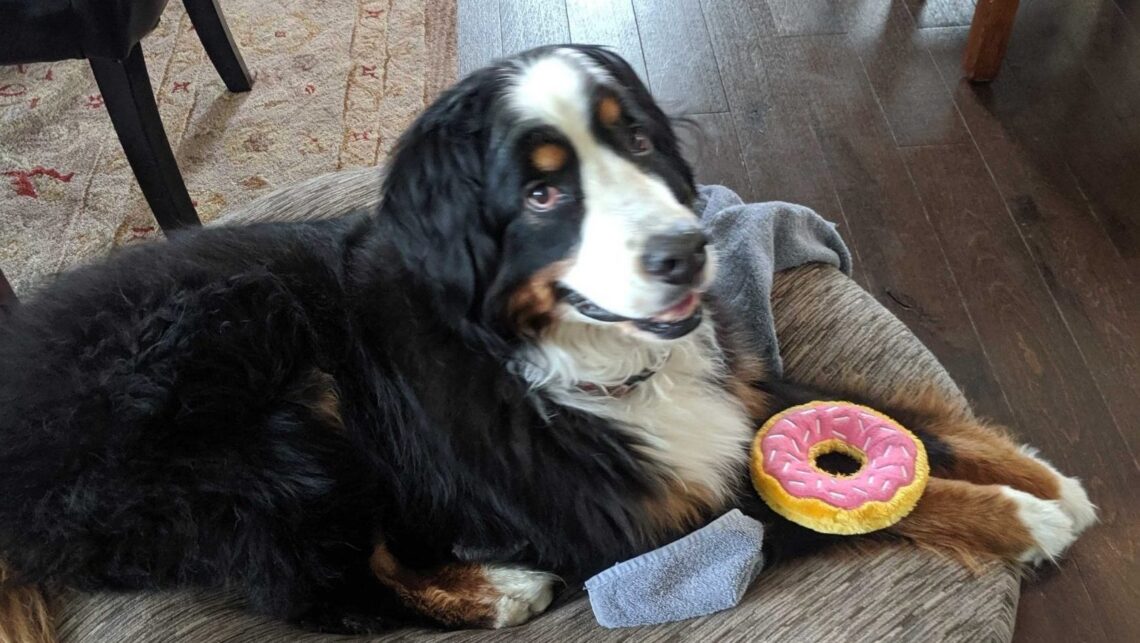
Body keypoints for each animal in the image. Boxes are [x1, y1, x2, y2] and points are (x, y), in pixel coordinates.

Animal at [0, 46, 1094, 638]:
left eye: (638, 140)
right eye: (540, 192)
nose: (689, 252)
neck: (557, 359)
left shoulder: (734, 396)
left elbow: (902, 417)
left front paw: (1041, 476)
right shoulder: (629, 520)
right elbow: (843, 513)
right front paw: (1016, 519)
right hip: (263, 424)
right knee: (332, 588)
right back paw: (502, 592)